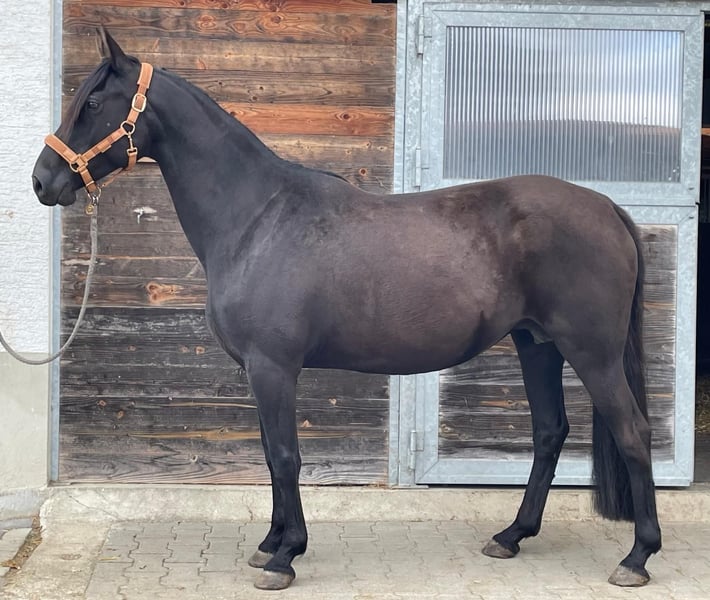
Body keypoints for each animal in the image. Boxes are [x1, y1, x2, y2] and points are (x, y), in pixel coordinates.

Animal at [31, 29, 661, 590]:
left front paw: (286, 556)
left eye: (91, 103)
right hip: (537, 345)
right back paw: (511, 537)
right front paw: (270, 543)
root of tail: (606, 207)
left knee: (632, 431)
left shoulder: (273, 368)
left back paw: (636, 557)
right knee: (550, 432)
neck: (256, 218)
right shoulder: (260, 373)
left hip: (592, 353)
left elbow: (286, 456)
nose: (42, 181)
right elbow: (269, 455)